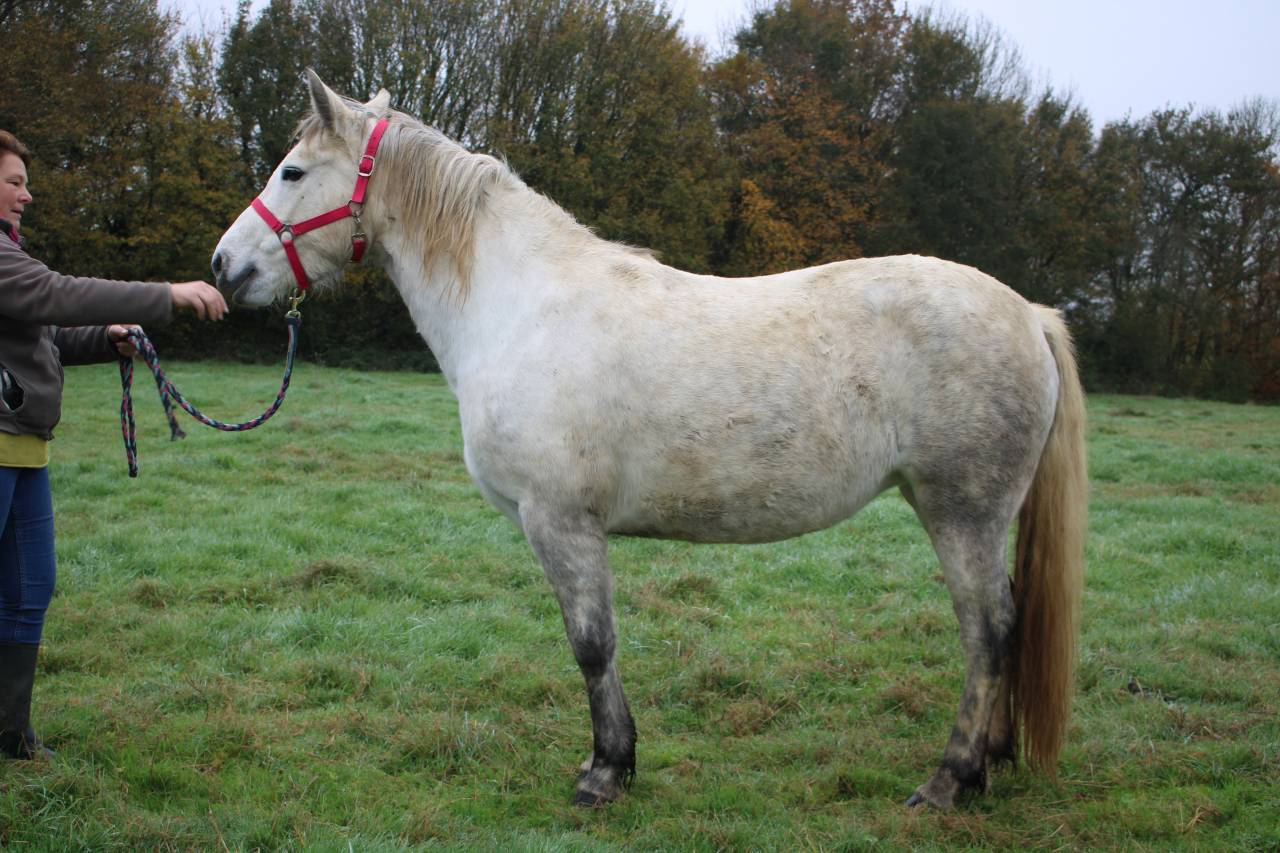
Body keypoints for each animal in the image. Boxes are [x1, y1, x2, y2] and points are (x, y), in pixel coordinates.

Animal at [212, 71, 1086, 810]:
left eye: (293, 172)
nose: (225, 267)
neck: (520, 303)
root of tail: (1029, 314)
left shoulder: (560, 521)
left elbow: (592, 644)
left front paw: (607, 768)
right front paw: (614, 760)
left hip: (962, 513)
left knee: (988, 631)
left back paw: (951, 778)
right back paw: (990, 761)